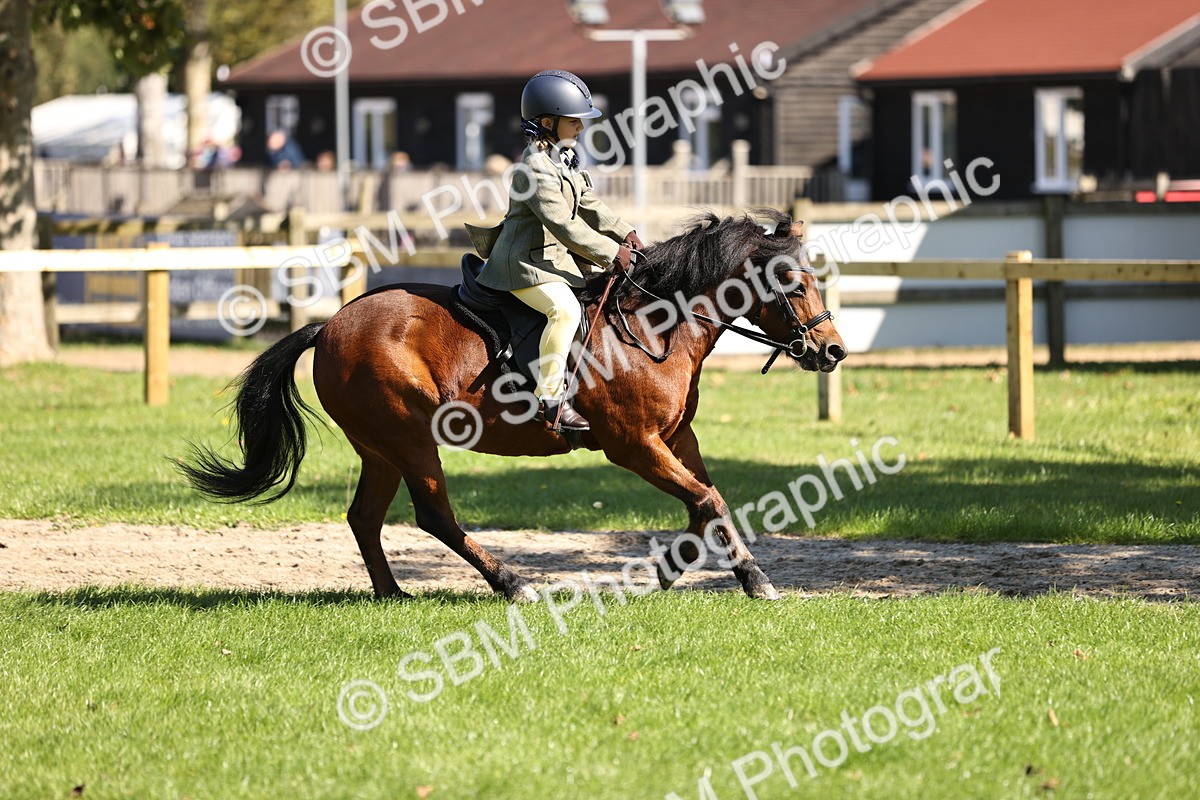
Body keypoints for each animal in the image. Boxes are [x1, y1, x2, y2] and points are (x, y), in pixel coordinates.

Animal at [180, 208, 847, 601]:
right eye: (791, 283)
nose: (833, 350)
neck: (655, 325)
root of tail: (330, 324)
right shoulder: (634, 445)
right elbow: (707, 501)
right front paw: (753, 580)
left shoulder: (677, 439)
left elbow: (705, 505)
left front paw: (672, 571)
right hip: (410, 438)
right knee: (434, 516)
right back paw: (511, 583)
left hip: (381, 448)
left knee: (365, 518)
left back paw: (393, 592)